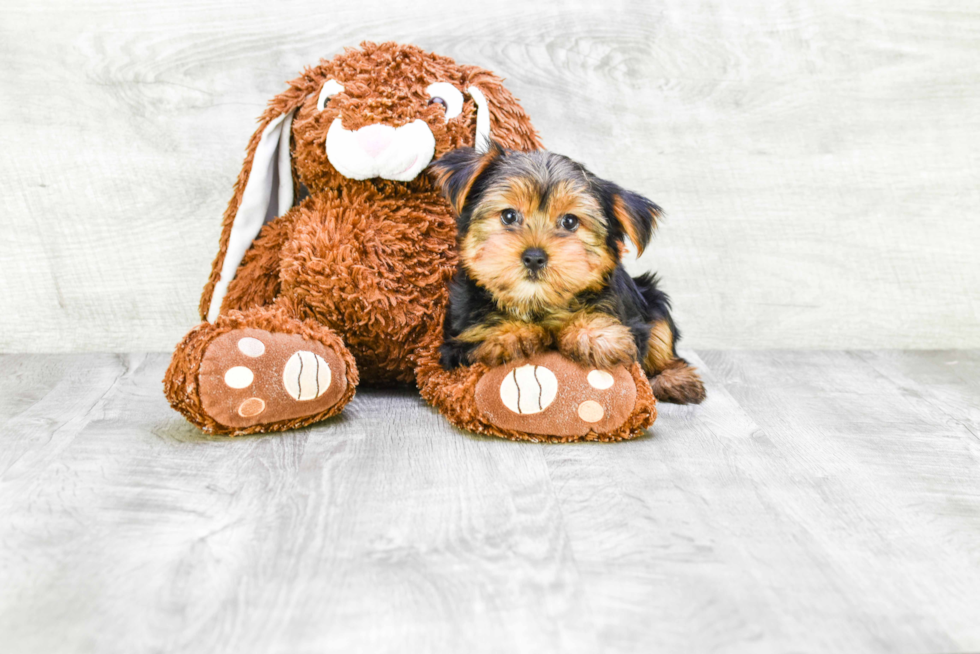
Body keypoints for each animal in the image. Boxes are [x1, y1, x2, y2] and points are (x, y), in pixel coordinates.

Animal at [428, 144, 704, 404]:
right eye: (508, 215)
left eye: (570, 222)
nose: (534, 257)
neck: (537, 303)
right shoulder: (457, 340)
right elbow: (482, 333)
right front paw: (509, 333)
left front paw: (594, 334)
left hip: (652, 296)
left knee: (664, 344)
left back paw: (676, 380)